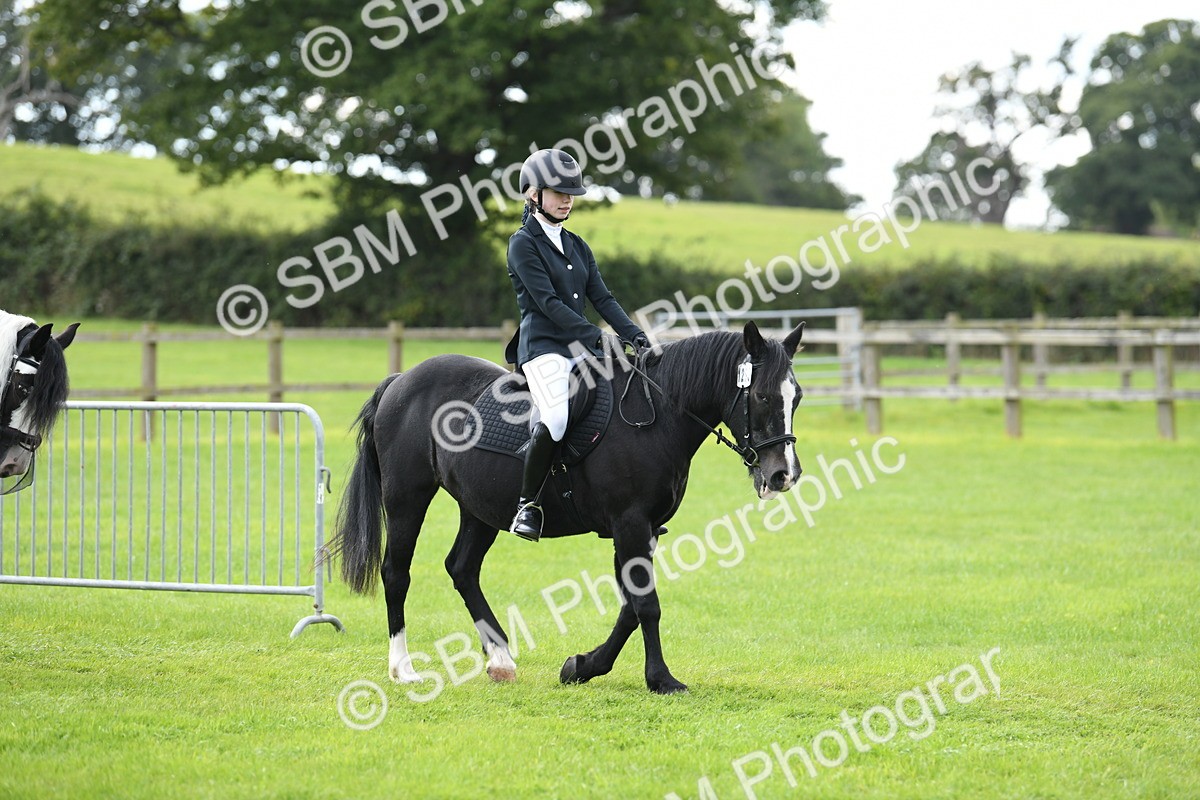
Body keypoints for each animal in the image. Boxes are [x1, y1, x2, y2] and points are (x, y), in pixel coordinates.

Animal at [331, 321, 804, 694]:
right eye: (762, 396)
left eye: (796, 397)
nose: (784, 475)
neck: (657, 415)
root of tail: (401, 379)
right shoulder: (630, 523)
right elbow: (646, 604)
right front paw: (661, 679)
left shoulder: (644, 529)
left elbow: (631, 606)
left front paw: (581, 667)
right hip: (407, 497)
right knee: (397, 573)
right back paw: (404, 668)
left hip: (480, 508)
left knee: (462, 568)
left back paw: (500, 659)